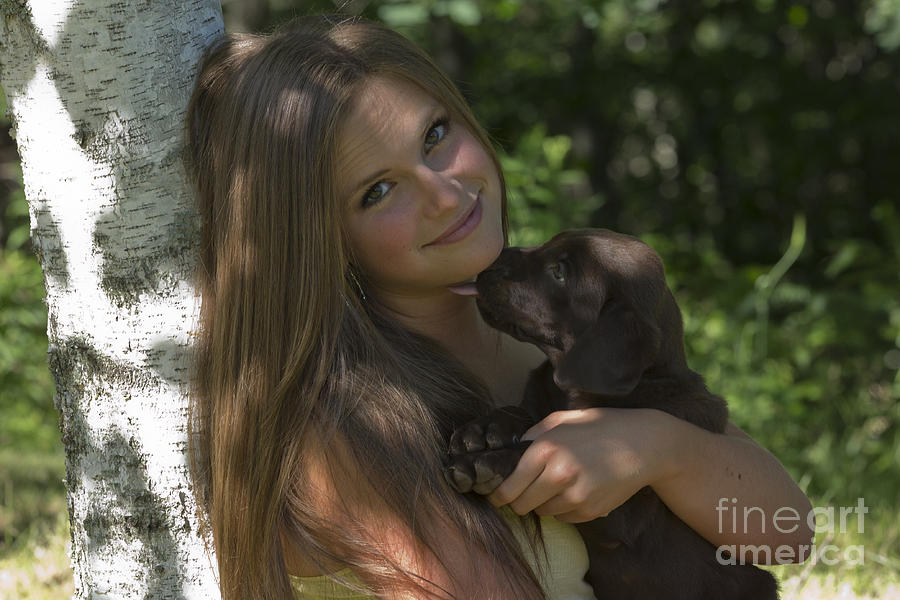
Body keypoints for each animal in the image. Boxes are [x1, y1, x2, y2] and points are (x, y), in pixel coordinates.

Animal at [444, 229, 780, 600]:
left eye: (559, 272)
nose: (490, 261)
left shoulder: (619, 508)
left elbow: (536, 447)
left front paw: (486, 461)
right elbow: (525, 413)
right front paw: (484, 428)